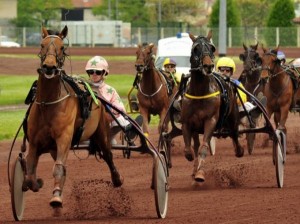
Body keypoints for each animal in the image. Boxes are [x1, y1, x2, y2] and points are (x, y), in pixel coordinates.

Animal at [22, 25, 122, 208]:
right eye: (41, 45)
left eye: (62, 47)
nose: (49, 67)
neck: (48, 103)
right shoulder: (34, 142)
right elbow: (30, 174)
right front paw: (37, 183)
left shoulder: (64, 138)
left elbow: (58, 167)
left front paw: (56, 196)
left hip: (102, 133)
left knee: (108, 155)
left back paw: (117, 179)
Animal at [180, 31, 244, 182]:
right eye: (195, 48)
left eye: (212, 48)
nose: (208, 66)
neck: (200, 92)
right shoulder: (187, 122)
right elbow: (189, 150)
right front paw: (195, 167)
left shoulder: (211, 120)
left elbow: (204, 147)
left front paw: (200, 173)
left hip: (232, 118)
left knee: (234, 134)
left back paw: (239, 150)